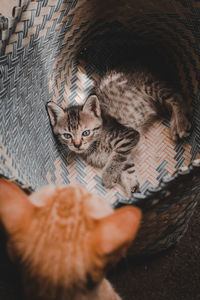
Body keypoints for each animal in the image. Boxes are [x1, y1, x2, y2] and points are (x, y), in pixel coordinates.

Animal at [47, 64, 191, 195]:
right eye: (67, 135)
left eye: (86, 133)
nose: (77, 145)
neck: (95, 144)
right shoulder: (127, 155)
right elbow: (127, 169)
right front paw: (134, 193)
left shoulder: (128, 136)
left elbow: (117, 157)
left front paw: (108, 176)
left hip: (150, 85)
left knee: (176, 97)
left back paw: (180, 124)